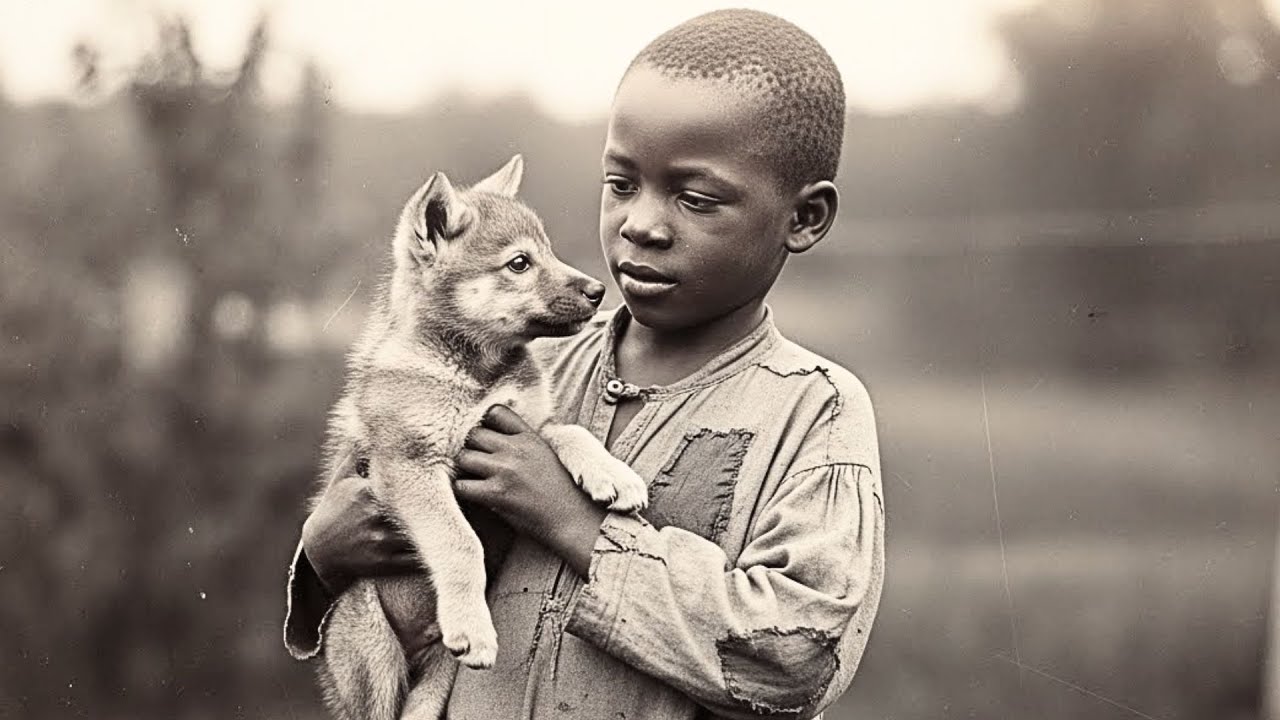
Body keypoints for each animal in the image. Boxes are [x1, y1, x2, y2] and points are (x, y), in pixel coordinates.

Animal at [311, 155, 648, 720]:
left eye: (548, 251)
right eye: (519, 263)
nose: (598, 290)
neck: (479, 375)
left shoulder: (531, 422)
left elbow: (572, 430)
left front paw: (611, 475)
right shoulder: (410, 464)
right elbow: (459, 540)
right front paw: (472, 626)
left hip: (433, 690)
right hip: (372, 654)